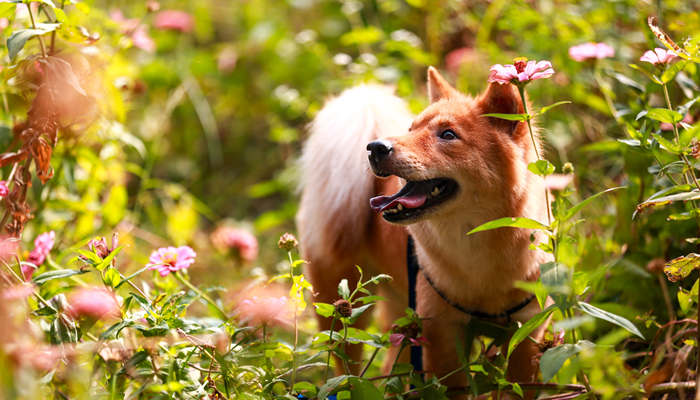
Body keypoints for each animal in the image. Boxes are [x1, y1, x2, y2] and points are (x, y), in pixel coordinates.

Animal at [296, 67, 552, 396]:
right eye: (411, 128)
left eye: (448, 135)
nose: (376, 147)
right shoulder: (441, 336)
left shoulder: (527, 334)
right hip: (343, 312)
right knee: (344, 367)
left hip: (402, 319)